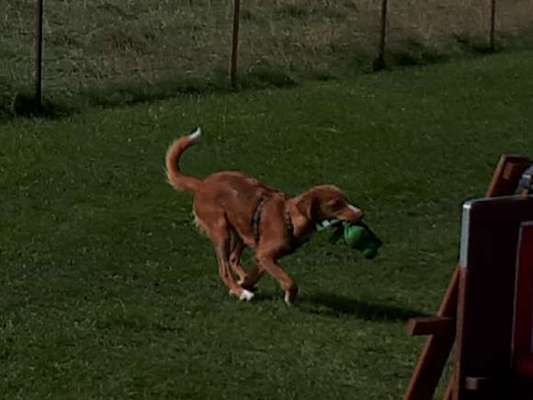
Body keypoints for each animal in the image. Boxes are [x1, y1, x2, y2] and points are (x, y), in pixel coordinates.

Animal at [166, 128, 364, 304]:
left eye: (346, 200)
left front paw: (246, 282)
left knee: (233, 259)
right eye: (335, 205)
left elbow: (257, 273)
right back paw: (241, 293)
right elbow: (289, 281)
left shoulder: (264, 256)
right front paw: (288, 297)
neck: (289, 218)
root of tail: (202, 184)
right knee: (224, 268)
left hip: (241, 231)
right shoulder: (266, 255)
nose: (361, 214)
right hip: (221, 231)